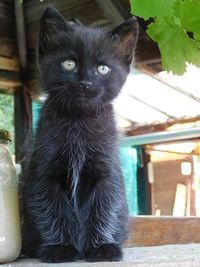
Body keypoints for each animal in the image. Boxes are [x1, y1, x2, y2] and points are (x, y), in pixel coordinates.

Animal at [21, 6, 138, 264]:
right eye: (68, 64)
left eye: (103, 69)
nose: (85, 83)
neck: (79, 121)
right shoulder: (45, 174)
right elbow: (51, 208)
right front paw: (60, 248)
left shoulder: (106, 171)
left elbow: (104, 207)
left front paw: (102, 247)